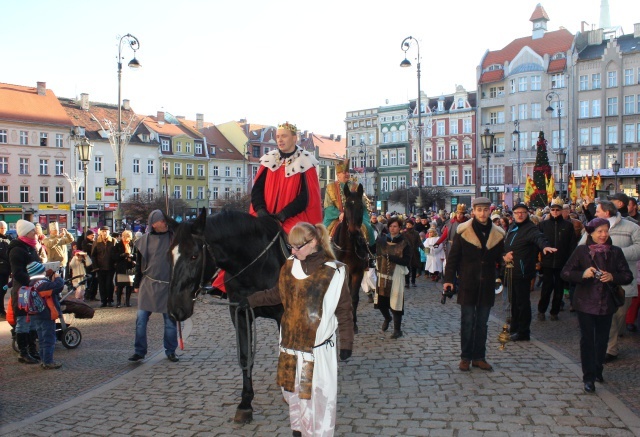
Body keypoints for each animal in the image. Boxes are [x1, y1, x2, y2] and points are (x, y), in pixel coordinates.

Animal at [168, 209, 284, 420]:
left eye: (194, 256)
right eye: (169, 255)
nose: (175, 308)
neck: (257, 267)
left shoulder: (283, 315)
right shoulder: (240, 313)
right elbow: (246, 357)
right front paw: (245, 403)